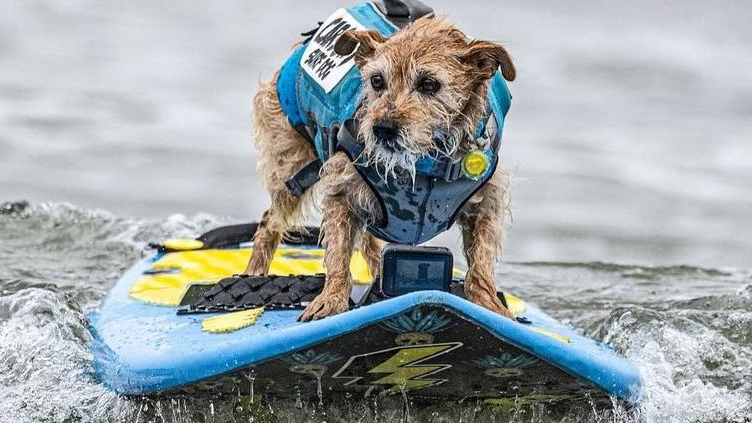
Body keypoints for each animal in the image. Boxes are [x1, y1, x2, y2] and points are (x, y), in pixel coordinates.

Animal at [244, 0, 516, 322]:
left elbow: (481, 263)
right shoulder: (342, 189)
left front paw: (491, 305)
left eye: (429, 84)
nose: (382, 128)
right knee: (269, 224)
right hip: (291, 167)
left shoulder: (486, 203)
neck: (423, 167)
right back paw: (253, 277)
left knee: (373, 246)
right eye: (377, 81)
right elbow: (338, 254)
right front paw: (331, 299)